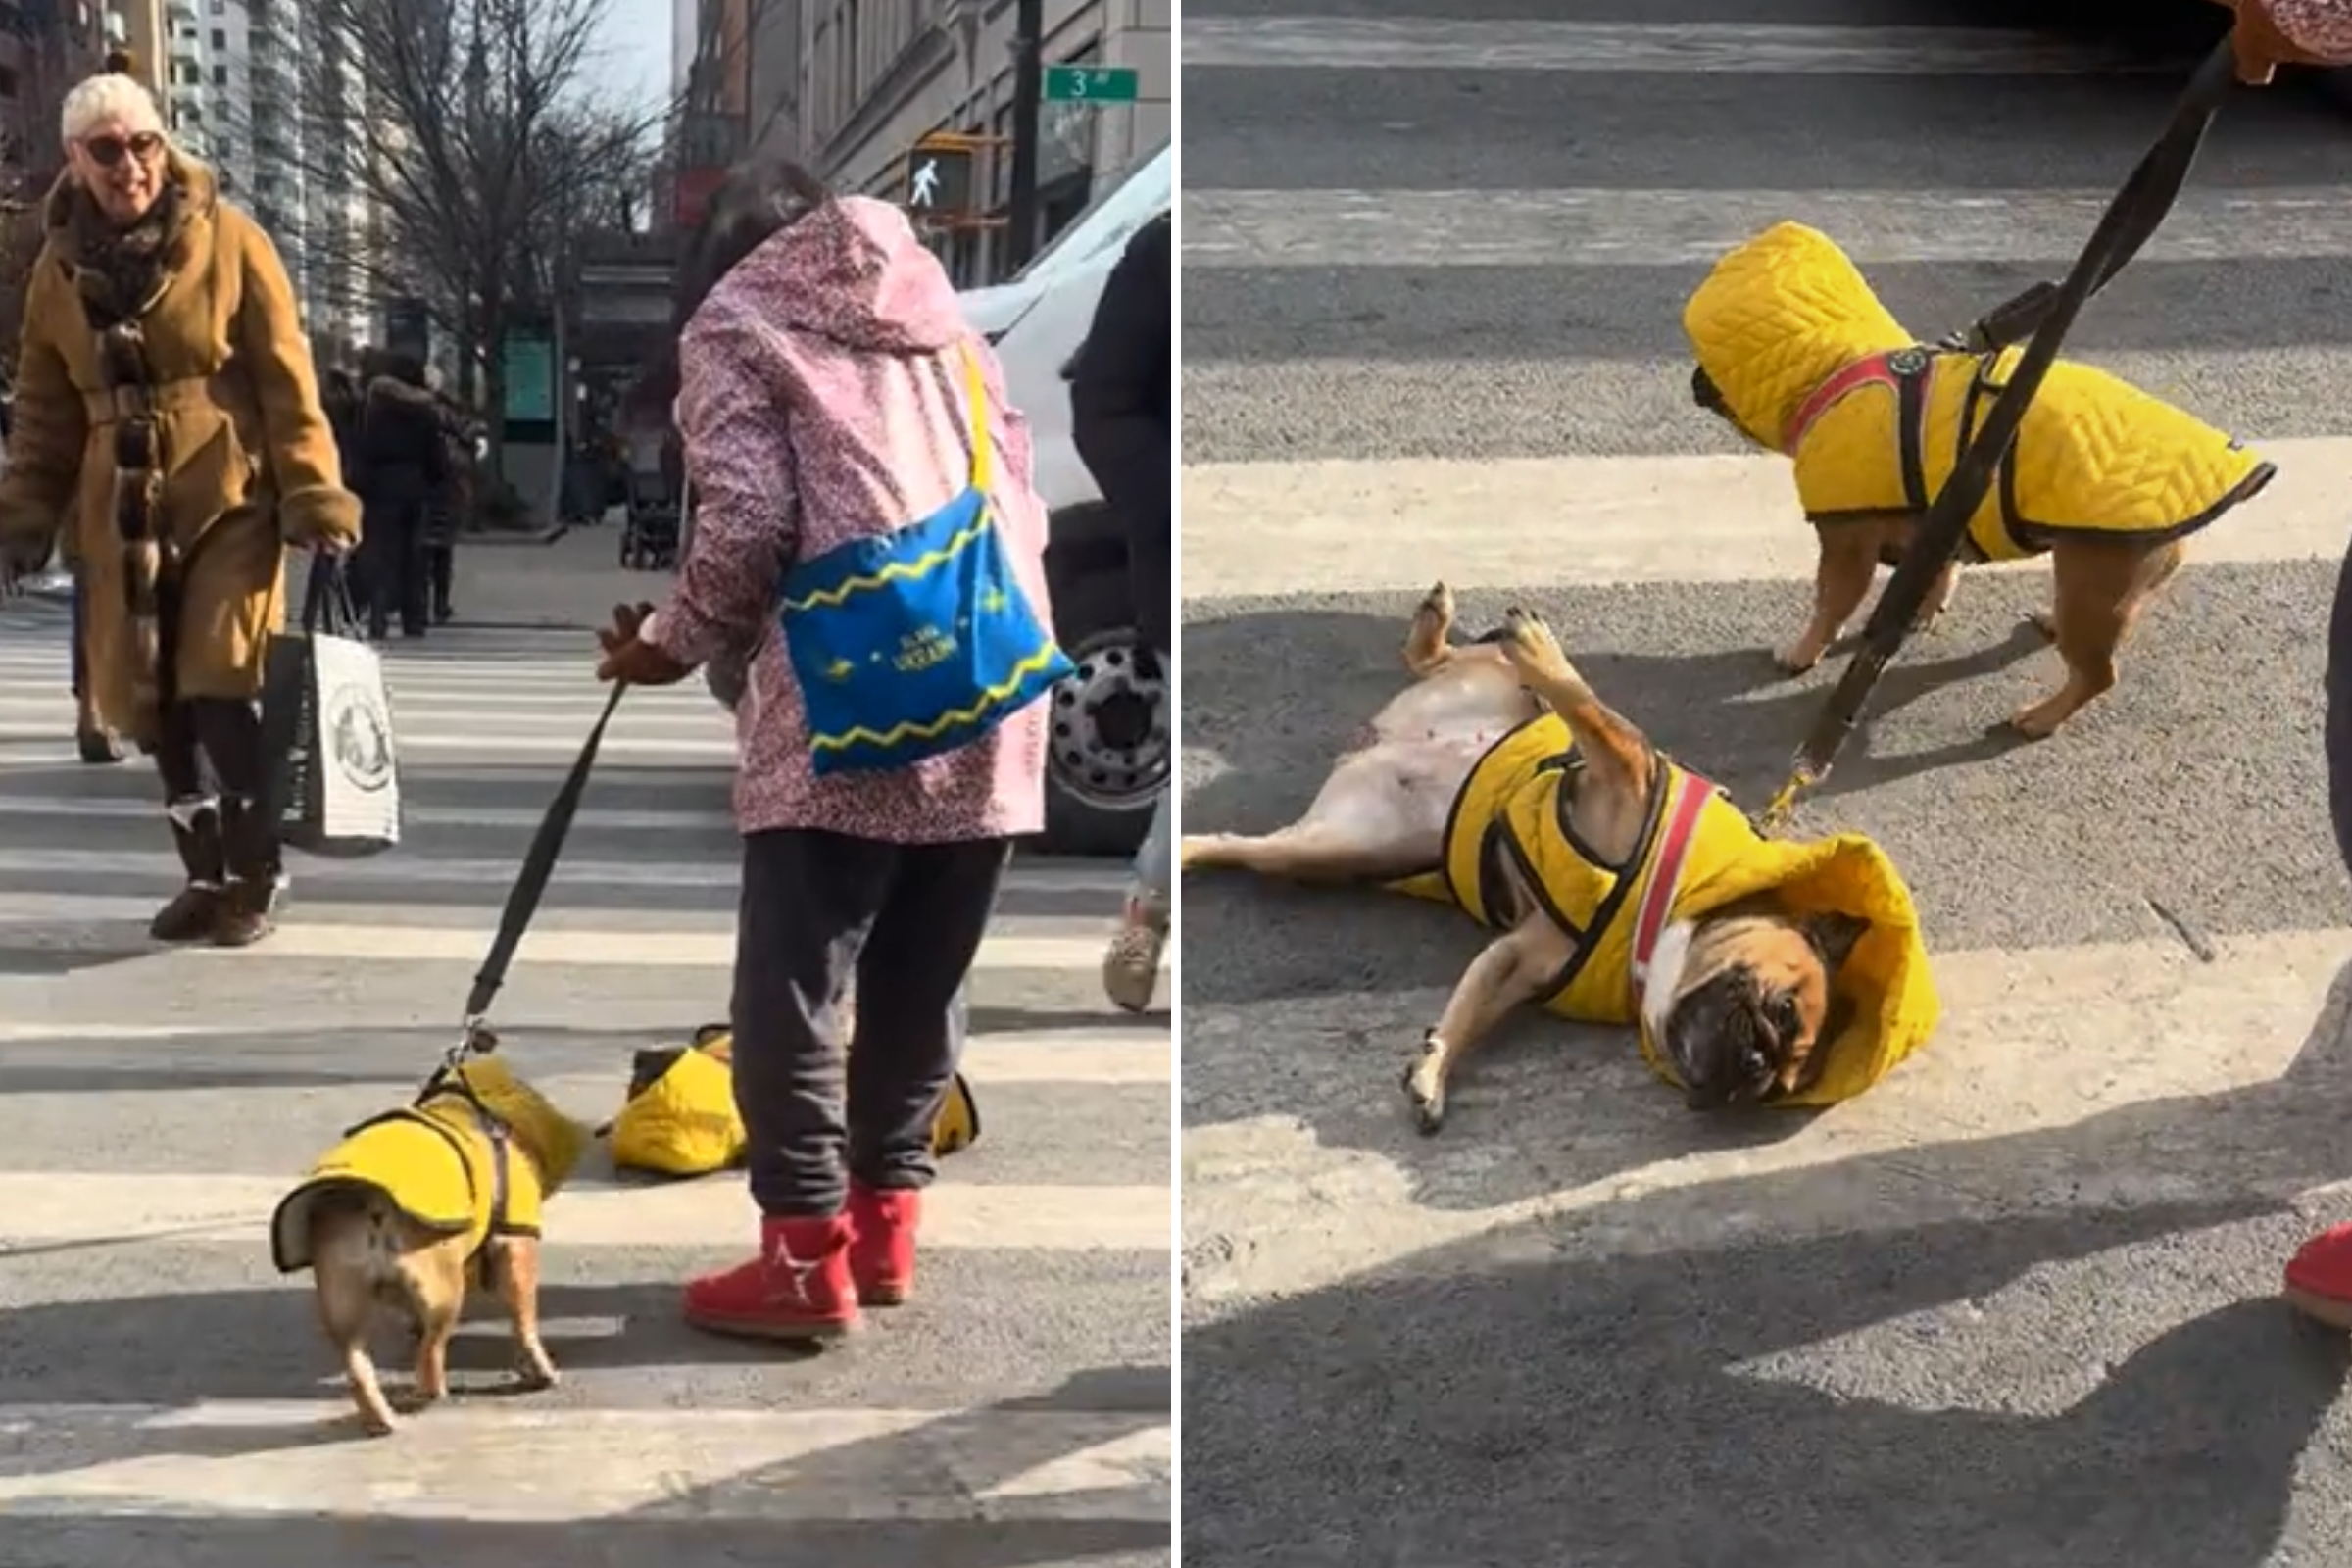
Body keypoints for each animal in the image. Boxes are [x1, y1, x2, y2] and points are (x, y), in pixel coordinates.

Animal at [1176, 585, 1929, 1128]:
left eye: (1781, 1083)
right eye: (1782, 1012)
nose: (1750, 1071)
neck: (1661, 925)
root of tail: (1380, 741)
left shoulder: (1523, 958)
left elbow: (1470, 1014)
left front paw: (1434, 1071)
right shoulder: (1628, 769)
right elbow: (1596, 714)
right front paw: (1548, 653)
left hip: (1346, 846)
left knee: (1249, 846)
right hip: (1483, 698)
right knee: (1469, 662)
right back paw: (1471, 629)